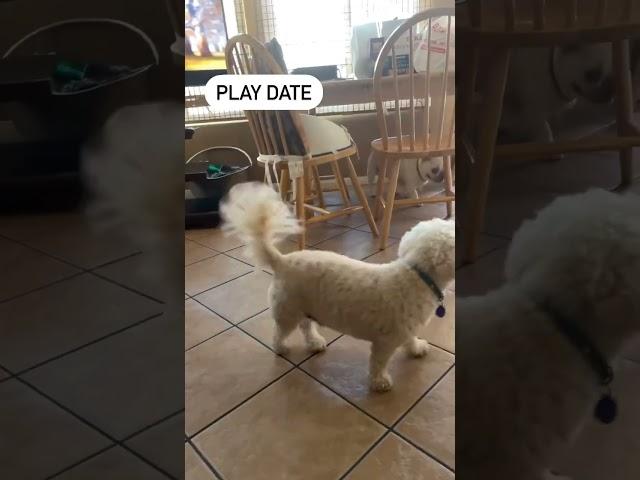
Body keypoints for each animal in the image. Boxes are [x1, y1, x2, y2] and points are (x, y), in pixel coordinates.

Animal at [222, 182, 458, 392]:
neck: (418, 275)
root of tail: (282, 261)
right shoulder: (385, 340)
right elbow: (379, 362)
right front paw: (380, 382)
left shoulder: (405, 328)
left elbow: (410, 340)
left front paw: (416, 348)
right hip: (288, 310)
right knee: (280, 332)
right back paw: (281, 348)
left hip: (305, 306)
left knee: (306, 326)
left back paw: (314, 342)